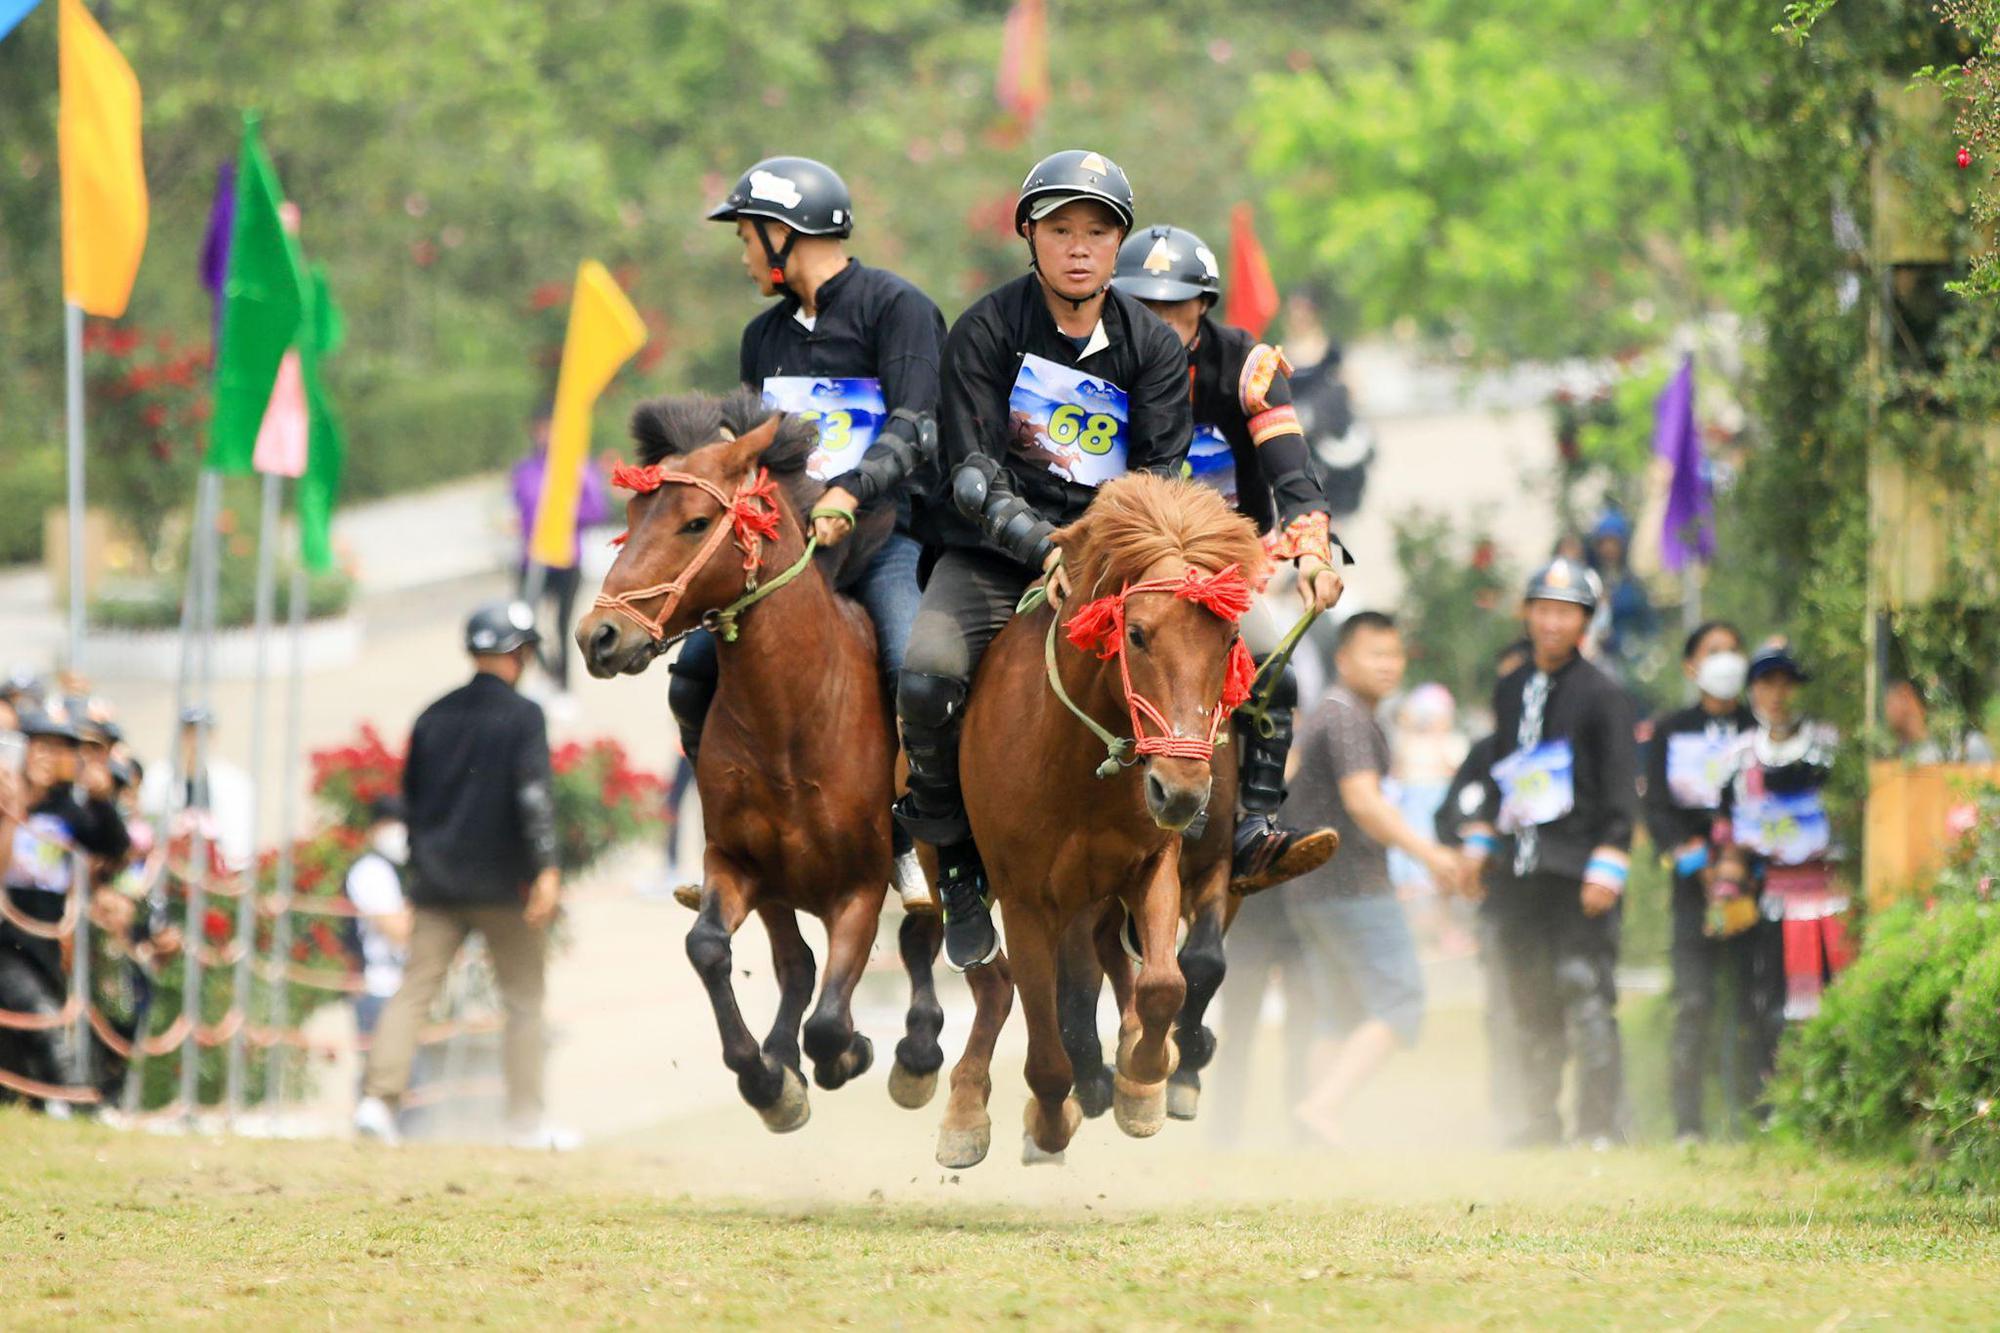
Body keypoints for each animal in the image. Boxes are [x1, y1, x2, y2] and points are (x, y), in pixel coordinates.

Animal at [576, 390, 948, 1128]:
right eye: (629, 518)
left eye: (695, 522)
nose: (599, 635)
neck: (791, 724)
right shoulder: (744, 865)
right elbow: (719, 951)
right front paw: (769, 1076)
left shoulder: (860, 885)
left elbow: (830, 1018)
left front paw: (846, 1052)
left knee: (941, 941)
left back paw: (921, 1056)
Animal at [936, 478, 1264, 1160]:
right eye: (1136, 634)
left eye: (1228, 642)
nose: (1180, 792)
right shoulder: (1026, 899)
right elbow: (1042, 1040)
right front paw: (1050, 1119)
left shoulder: (1153, 864)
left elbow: (1165, 983)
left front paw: (1144, 1077)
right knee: (995, 981)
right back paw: (969, 1109)